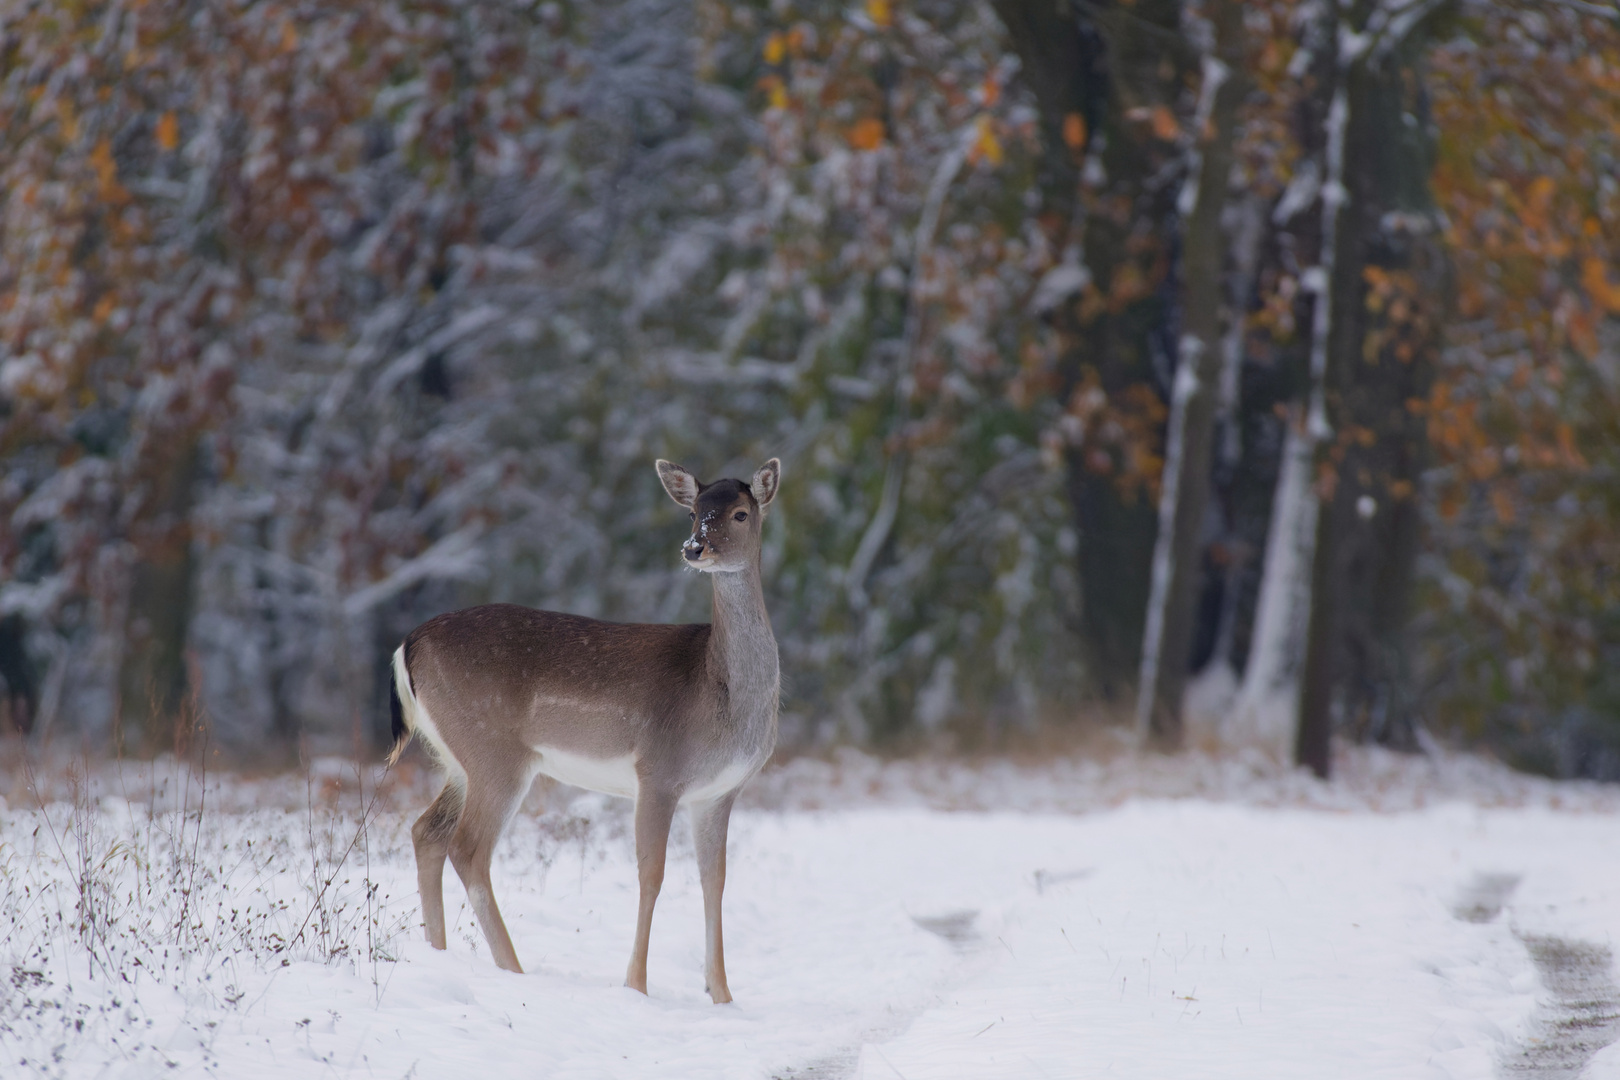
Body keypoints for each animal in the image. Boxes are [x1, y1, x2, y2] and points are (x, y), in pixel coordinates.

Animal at [385, 456, 777, 1003]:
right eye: (694, 511)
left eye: (740, 513)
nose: (694, 547)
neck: (720, 693)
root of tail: (408, 645)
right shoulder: (658, 771)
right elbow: (652, 873)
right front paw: (636, 986)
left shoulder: (718, 792)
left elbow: (713, 881)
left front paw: (721, 995)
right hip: (494, 752)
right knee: (469, 848)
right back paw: (513, 969)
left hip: (458, 758)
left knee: (427, 831)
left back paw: (440, 954)